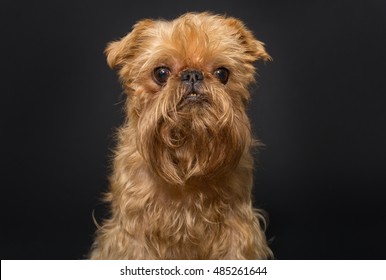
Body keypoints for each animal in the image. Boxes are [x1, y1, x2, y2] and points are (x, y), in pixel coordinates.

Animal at [90, 12, 272, 260]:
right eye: (161, 73)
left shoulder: (239, 229)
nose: (192, 74)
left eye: (222, 74)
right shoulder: (133, 234)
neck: (188, 152)